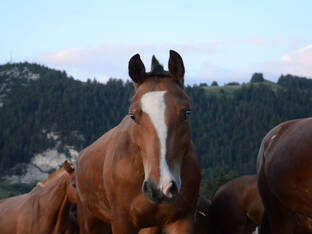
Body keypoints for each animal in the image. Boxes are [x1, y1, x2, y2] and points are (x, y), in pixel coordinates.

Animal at [76, 50, 200, 233]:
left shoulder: (182, 220)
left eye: (187, 112)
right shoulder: (121, 222)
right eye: (132, 115)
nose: (160, 188)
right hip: (89, 220)